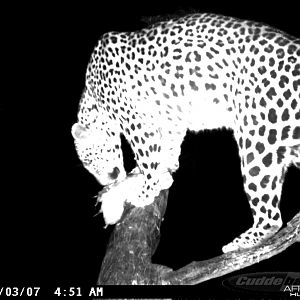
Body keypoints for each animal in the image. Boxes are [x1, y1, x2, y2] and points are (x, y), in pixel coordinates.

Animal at [71, 11, 298, 252]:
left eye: (88, 161)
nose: (105, 183)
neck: (93, 98)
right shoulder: (171, 119)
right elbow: (168, 147)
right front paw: (164, 169)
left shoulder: (137, 123)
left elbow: (147, 159)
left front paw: (145, 191)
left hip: (257, 138)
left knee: (271, 217)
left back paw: (239, 243)